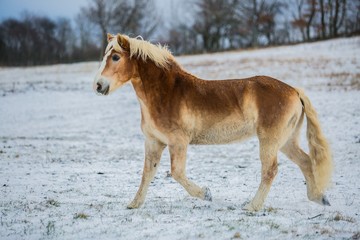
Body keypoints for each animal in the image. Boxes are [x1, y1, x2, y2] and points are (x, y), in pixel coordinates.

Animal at [92, 33, 332, 210]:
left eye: (115, 57)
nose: (98, 85)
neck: (165, 93)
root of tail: (294, 91)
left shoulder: (178, 142)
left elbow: (176, 173)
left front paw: (206, 194)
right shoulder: (153, 142)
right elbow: (147, 173)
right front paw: (134, 204)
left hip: (270, 141)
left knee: (270, 171)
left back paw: (252, 206)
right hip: (287, 141)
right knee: (306, 161)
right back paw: (319, 198)